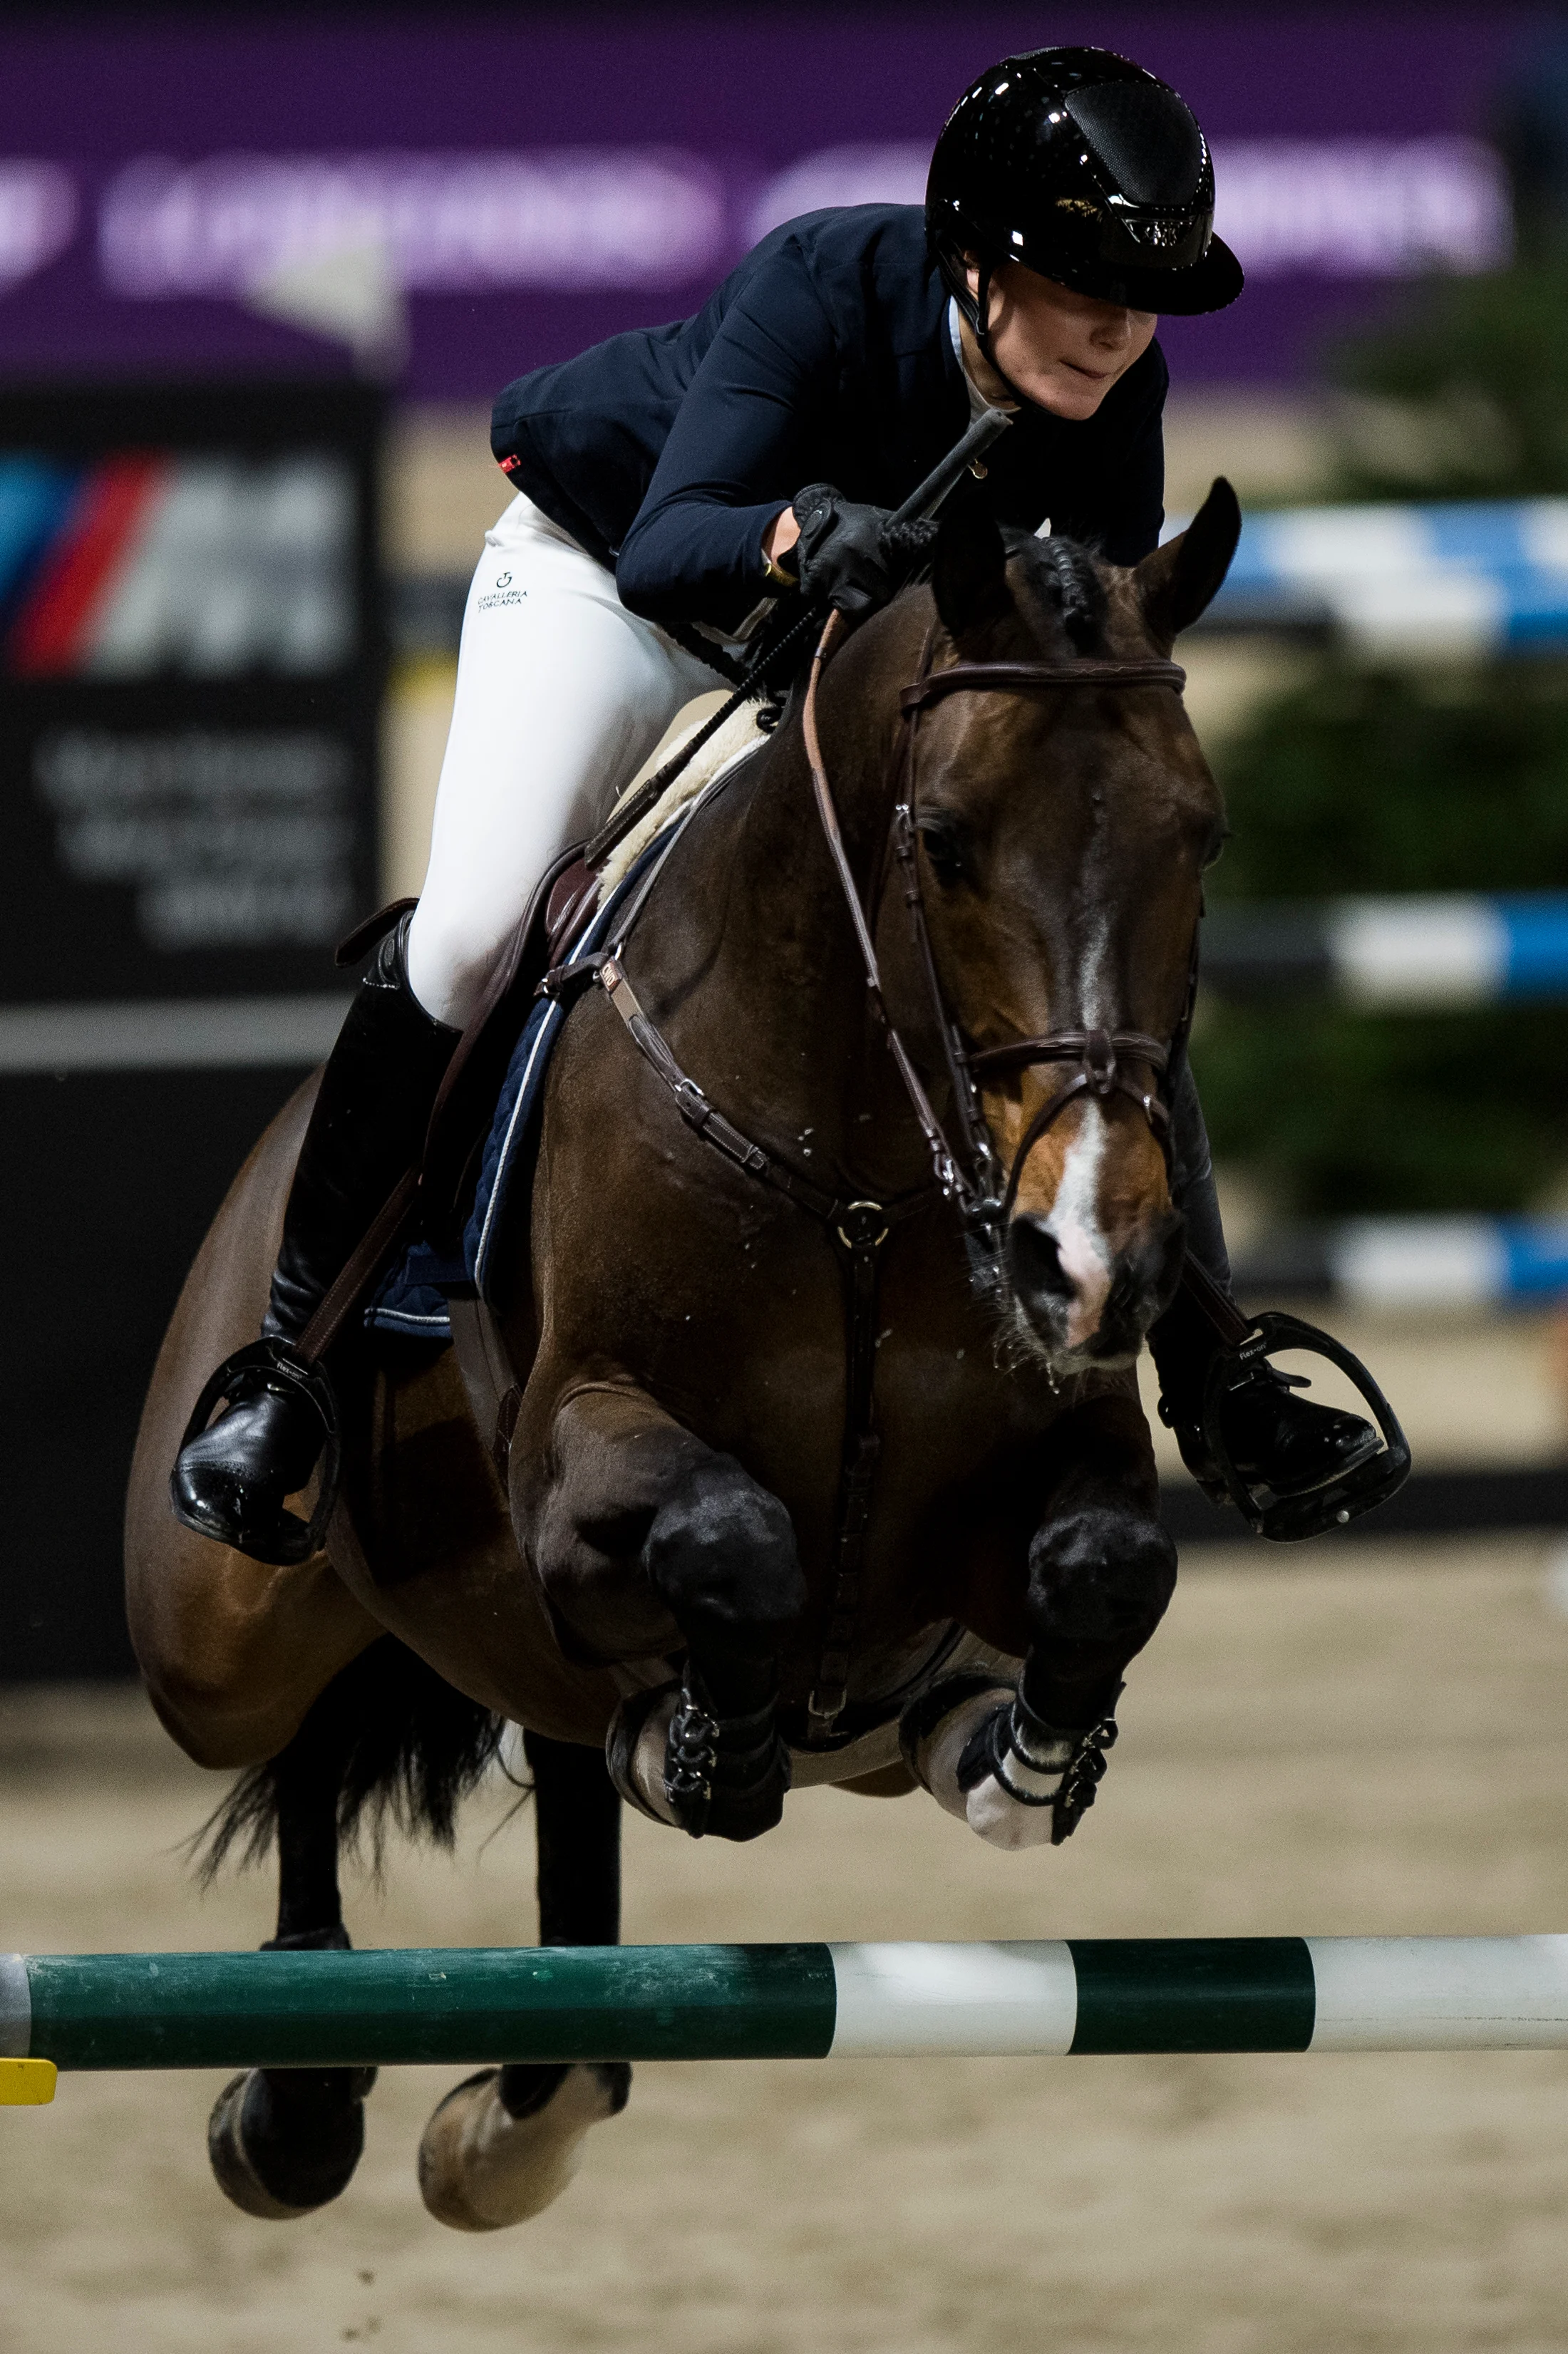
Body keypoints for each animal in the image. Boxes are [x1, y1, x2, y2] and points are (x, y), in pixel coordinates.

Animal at [125, 482, 1233, 2222]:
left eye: (1202, 835)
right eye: (945, 839)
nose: (1086, 1255)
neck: (856, 1166)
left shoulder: (1052, 1459)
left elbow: (1104, 1564)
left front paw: (1021, 1754)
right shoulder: (578, 1460)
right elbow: (731, 1539)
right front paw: (713, 1744)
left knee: (559, 1784)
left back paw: (521, 2107)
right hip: (208, 1643)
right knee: (297, 1737)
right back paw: (299, 2096)